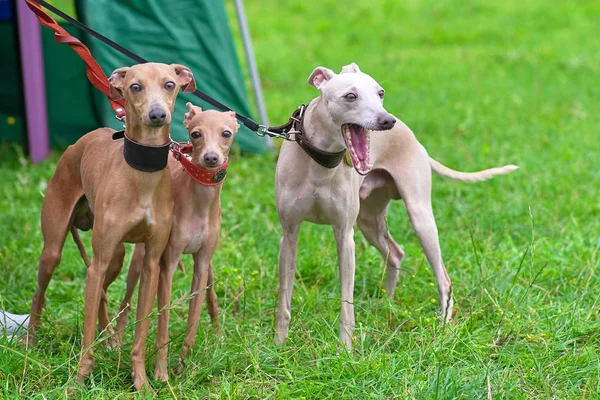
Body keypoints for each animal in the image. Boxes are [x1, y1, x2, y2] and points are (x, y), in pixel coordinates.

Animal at [24, 63, 197, 390]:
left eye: (169, 84)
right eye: (135, 87)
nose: (157, 115)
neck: (142, 173)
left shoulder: (151, 263)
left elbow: (141, 332)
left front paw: (141, 382)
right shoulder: (98, 262)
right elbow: (87, 334)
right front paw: (78, 381)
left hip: (115, 257)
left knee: (102, 296)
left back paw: (110, 343)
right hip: (55, 249)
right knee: (41, 293)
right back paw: (30, 340)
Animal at [110, 104, 239, 382]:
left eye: (226, 133)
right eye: (196, 134)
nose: (211, 158)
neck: (200, 202)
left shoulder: (201, 264)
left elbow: (193, 322)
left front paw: (183, 364)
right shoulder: (166, 265)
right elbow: (163, 324)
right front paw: (161, 372)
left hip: (208, 265)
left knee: (211, 295)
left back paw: (217, 332)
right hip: (140, 259)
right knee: (126, 302)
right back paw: (115, 341)